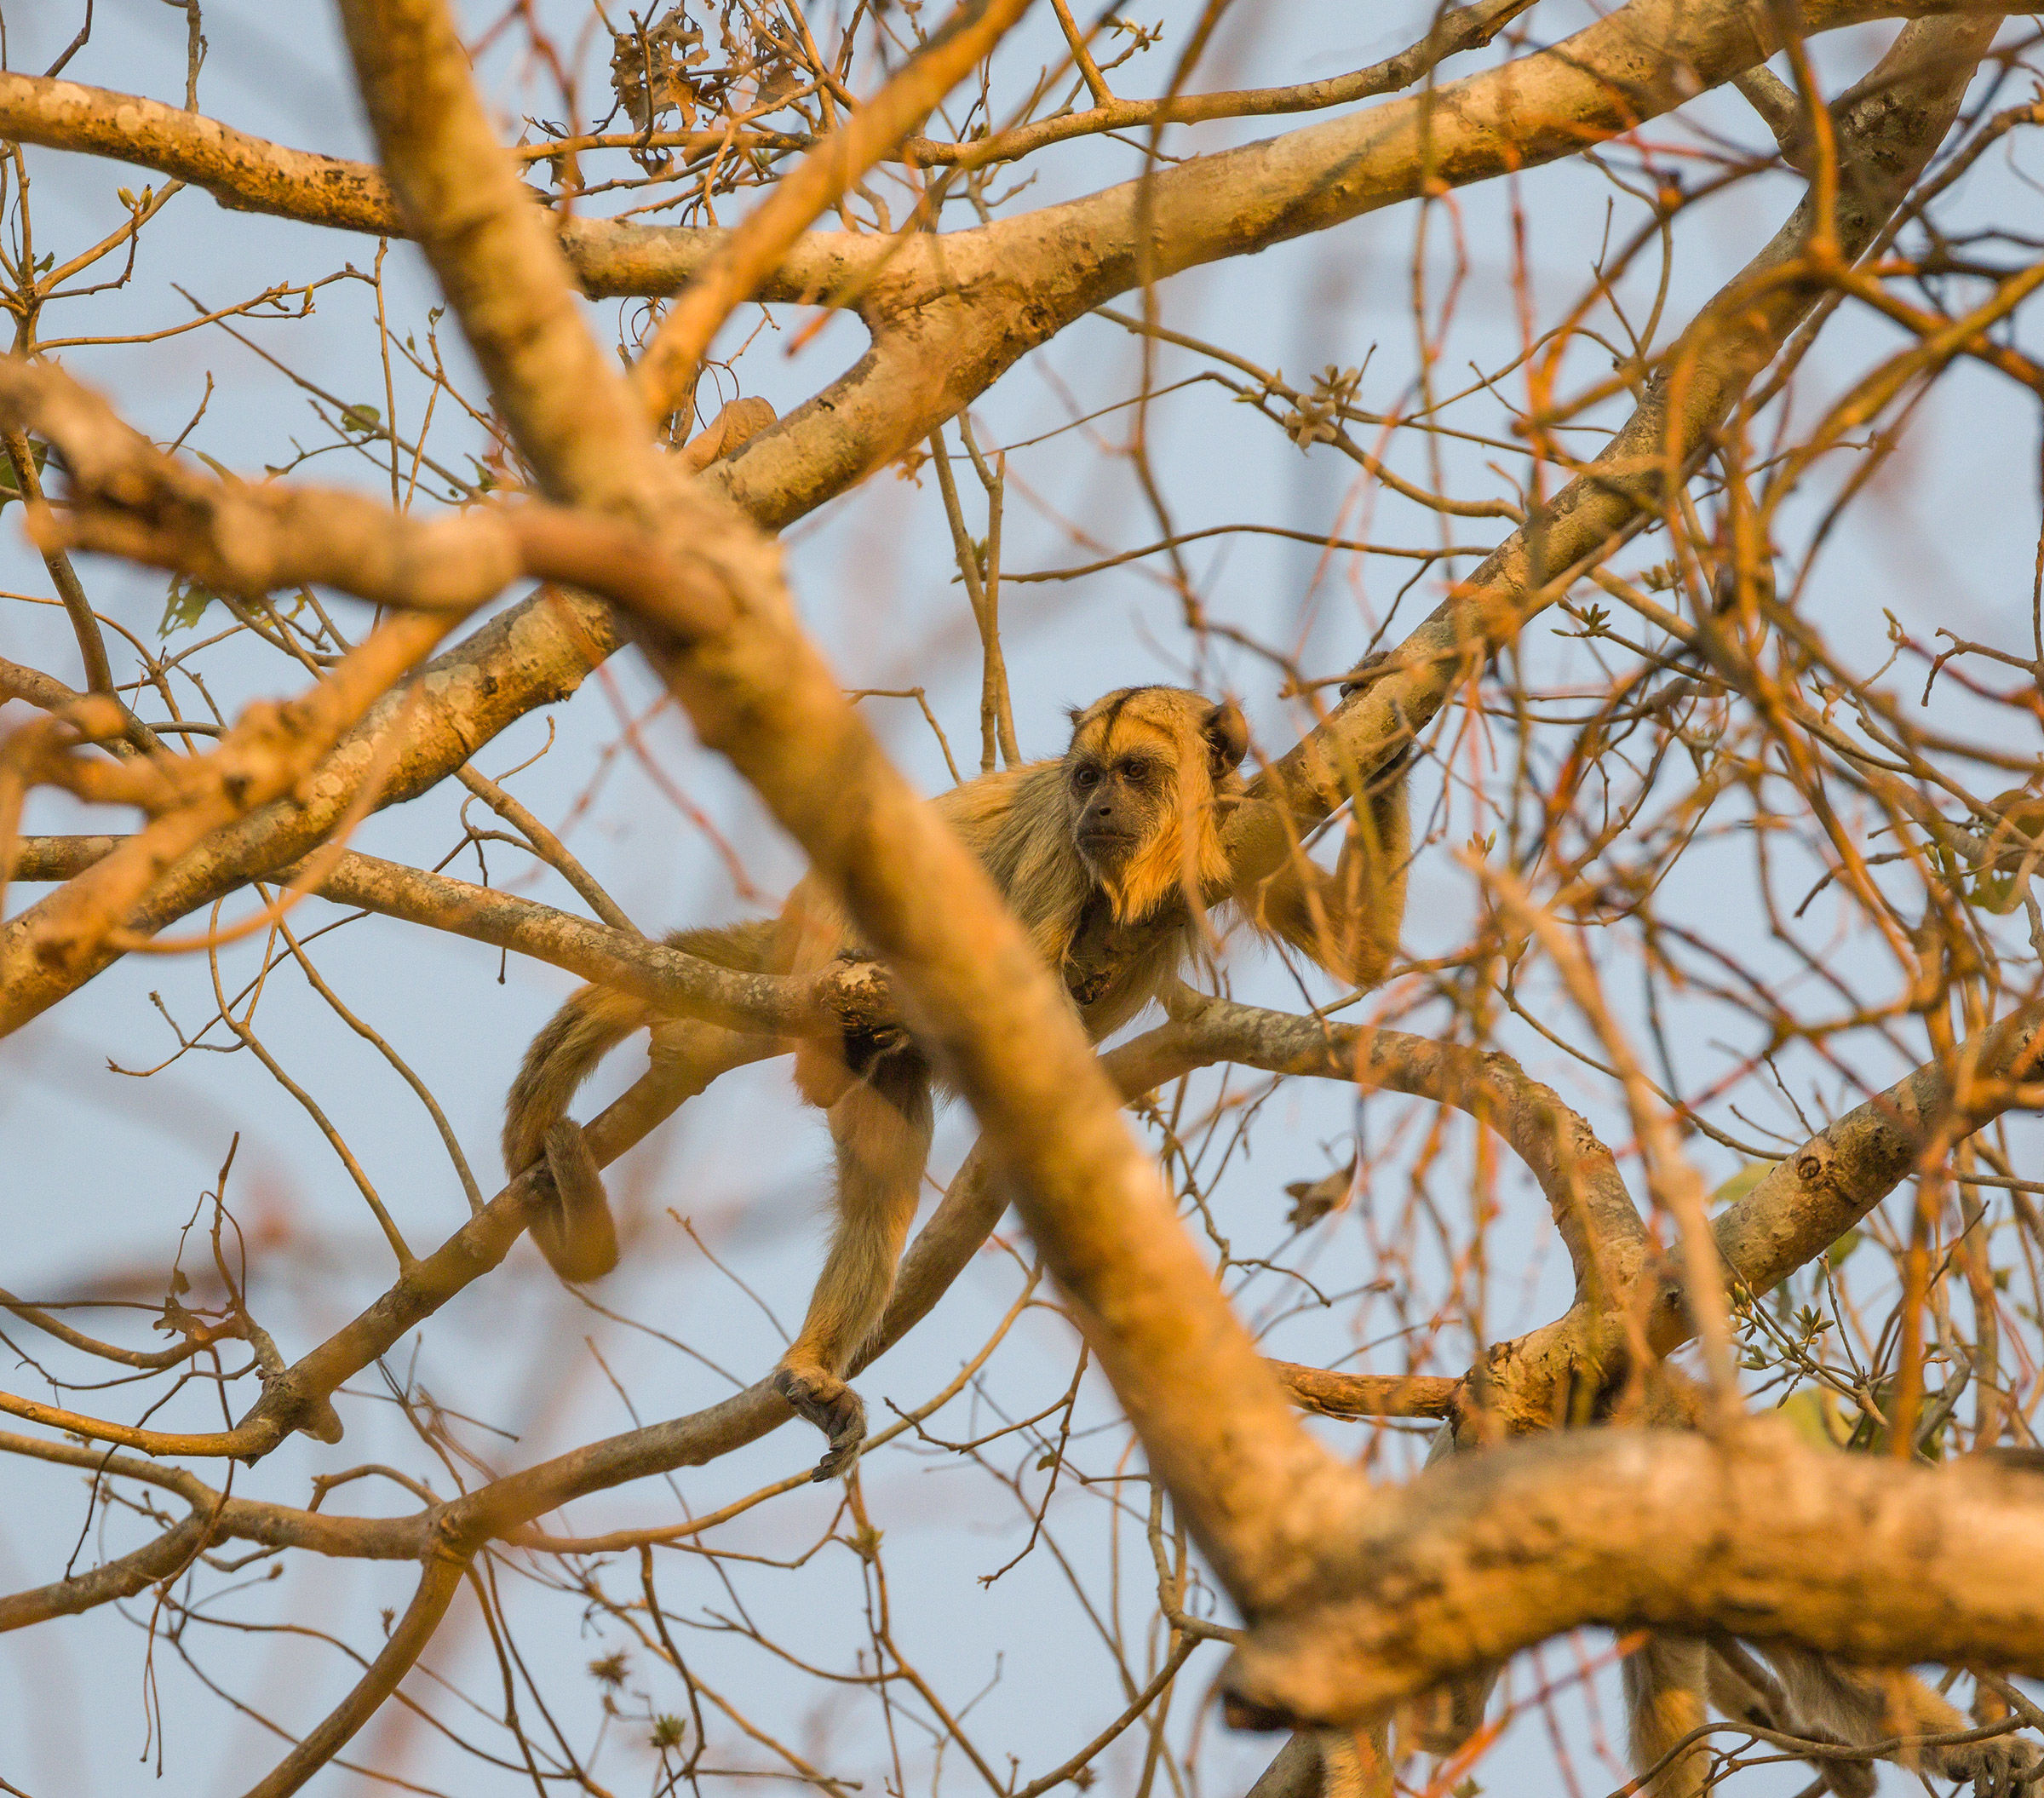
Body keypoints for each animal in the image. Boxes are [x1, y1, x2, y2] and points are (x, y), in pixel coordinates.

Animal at [502, 684, 1413, 1480]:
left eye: (1136, 772)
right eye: (1088, 777)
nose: (1099, 812)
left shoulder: (1248, 823)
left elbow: (1359, 948)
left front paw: (1385, 757)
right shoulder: (1058, 844)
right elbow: (1017, 975)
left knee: (882, 1182)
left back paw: (807, 1364)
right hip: (822, 926)